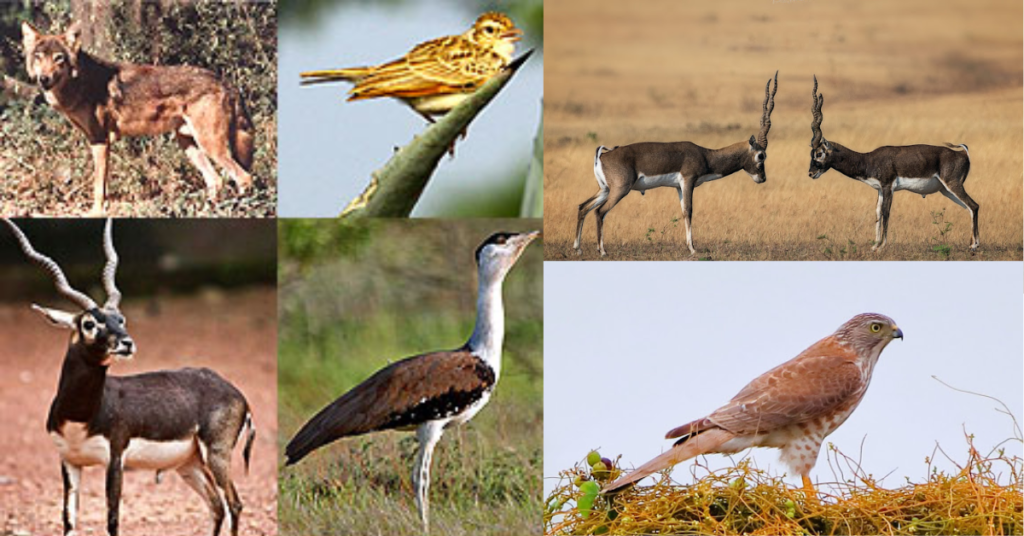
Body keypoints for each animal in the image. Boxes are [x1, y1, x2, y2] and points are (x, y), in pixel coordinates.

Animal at [3, 219, 256, 536]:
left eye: (120, 319)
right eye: (89, 323)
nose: (127, 343)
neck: (81, 417)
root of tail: (236, 393)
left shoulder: (115, 459)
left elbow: (112, 520)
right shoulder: (69, 462)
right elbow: (69, 519)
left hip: (216, 454)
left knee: (234, 504)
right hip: (189, 464)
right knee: (217, 506)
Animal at [20, 22, 254, 216]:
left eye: (58, 58)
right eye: (38, 57)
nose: (43, 79)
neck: (79, 84)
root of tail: (226, 82)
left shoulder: (100, 140)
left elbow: (98, 186)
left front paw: (95, 213)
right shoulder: (97, 140)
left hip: (210, 146)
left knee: (244, 178)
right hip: (189, 145)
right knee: (216, 181)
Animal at [284, 230, 540, 532]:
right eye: (502, 239)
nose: (532, 233)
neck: (483, 351)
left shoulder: (427, 427)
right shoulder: (432, 424)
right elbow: (421, 480)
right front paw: (425, 528)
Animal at [573, 72, 778, 257]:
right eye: (761, 155)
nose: (762, 178)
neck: (705, 155)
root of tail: (603, 156)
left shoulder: (678, 187)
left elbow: (683, 211)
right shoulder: (688, 181)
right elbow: (688, 211)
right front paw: (693, 249)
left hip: (605, 189)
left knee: (583, 207)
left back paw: (578, 248)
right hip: (620, 190)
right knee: (599, 212)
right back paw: (602, 251)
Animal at [806, 75, 983, 254]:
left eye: (819, 153)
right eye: (811, 153)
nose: (811, 173)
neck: (868, 160)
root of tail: (963, 153)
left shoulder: (887, 186)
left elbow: (886, 212)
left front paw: (882, 246)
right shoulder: (879, 190)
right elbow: (877, 213)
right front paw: (875, 245)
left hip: (953, 185)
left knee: (974, 205)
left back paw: (974, 245)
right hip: (946, 190)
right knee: (968, 208)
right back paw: (971, 243)